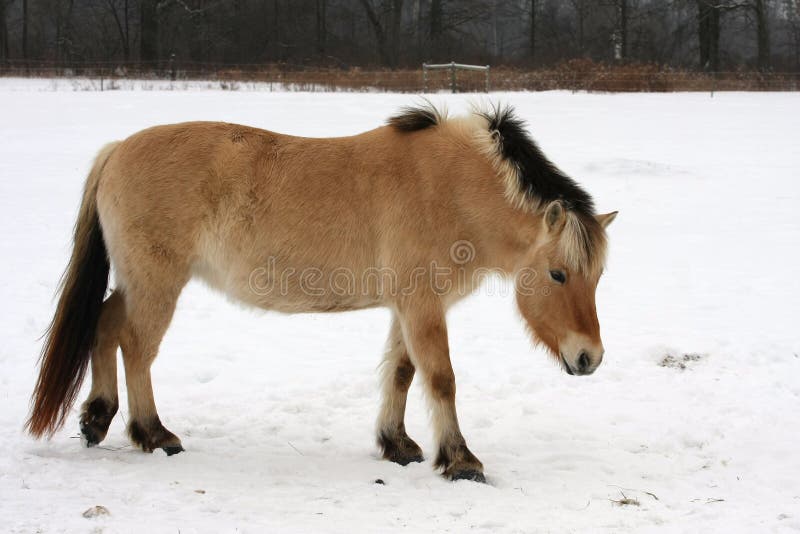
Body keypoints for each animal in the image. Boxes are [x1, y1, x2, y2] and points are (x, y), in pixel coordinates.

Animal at [26, 103, 616, 483]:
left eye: (598, 276)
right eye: (558, 274)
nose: (589, 358)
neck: (451, 187)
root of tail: (117, 150)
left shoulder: (408, 305)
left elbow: (402, 372)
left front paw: (397, 445)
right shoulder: (422, 305)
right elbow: (441, 379)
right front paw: (460, 460)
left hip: (137, 282)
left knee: (105, 325)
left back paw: (97, 418)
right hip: (156, 283)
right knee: (136, 347)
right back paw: (153, 433)